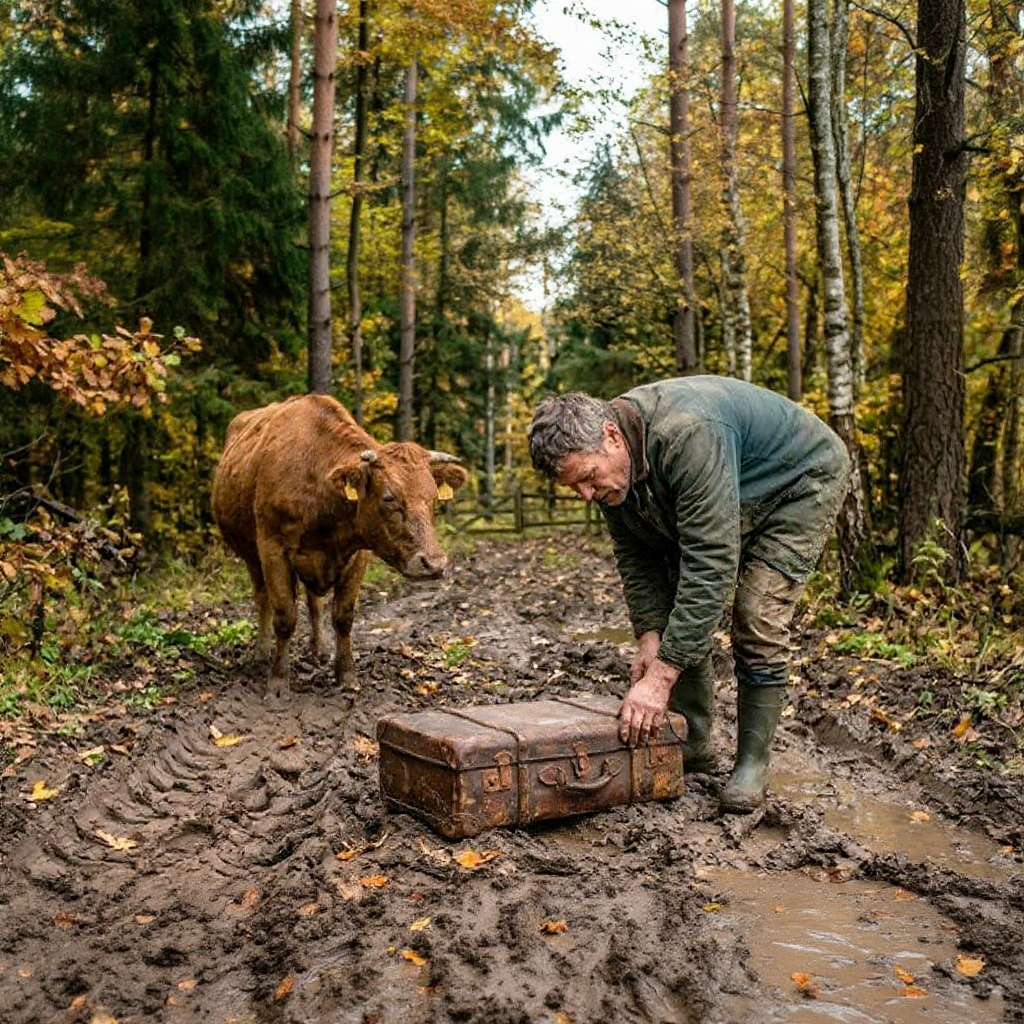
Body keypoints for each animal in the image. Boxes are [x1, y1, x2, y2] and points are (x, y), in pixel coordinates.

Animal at [211, 394, 468, 690]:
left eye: (434, 498)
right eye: (389, 497)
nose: (433, 563)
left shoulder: (358, 554)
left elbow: (343, 616)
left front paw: (345, 674)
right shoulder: (272, 549)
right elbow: (285, 616)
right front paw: (278, 680)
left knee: (314, 602)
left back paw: (320, 649)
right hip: (250, 555)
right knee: (263, 597)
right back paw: (261, 654)